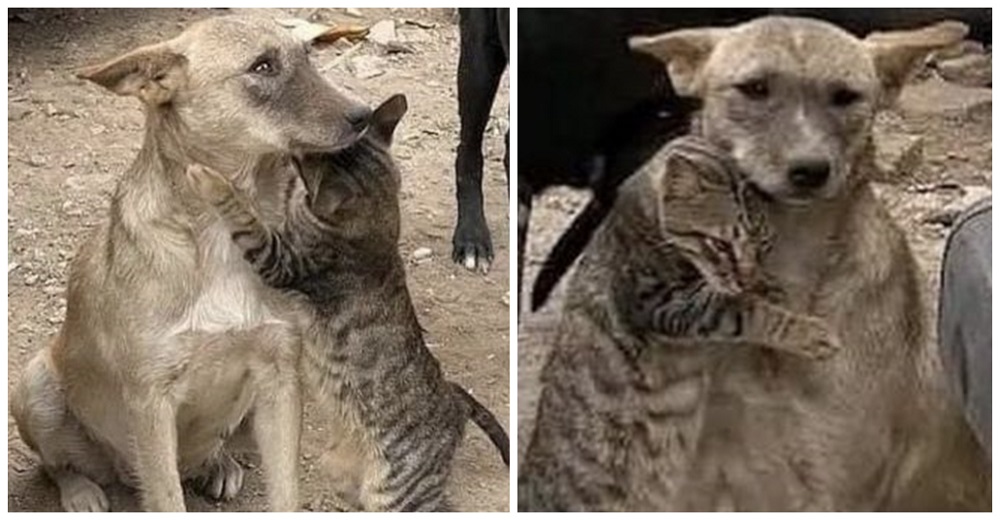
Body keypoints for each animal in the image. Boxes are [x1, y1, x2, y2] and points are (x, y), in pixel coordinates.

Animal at [186, 94, 508, 512]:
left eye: (310, 159)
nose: (297, 148)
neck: (380, 219)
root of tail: (454, 400)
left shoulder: (283, 260)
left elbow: (245, 216)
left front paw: (210, 180)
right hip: (341, 472)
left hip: (397, 492)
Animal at [520, 135, 840, 512]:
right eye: (720, 245)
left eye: (763, 244)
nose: (746, 276)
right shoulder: (670, 305)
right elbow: (748, 311)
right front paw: (809, 333)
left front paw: (767, 286)